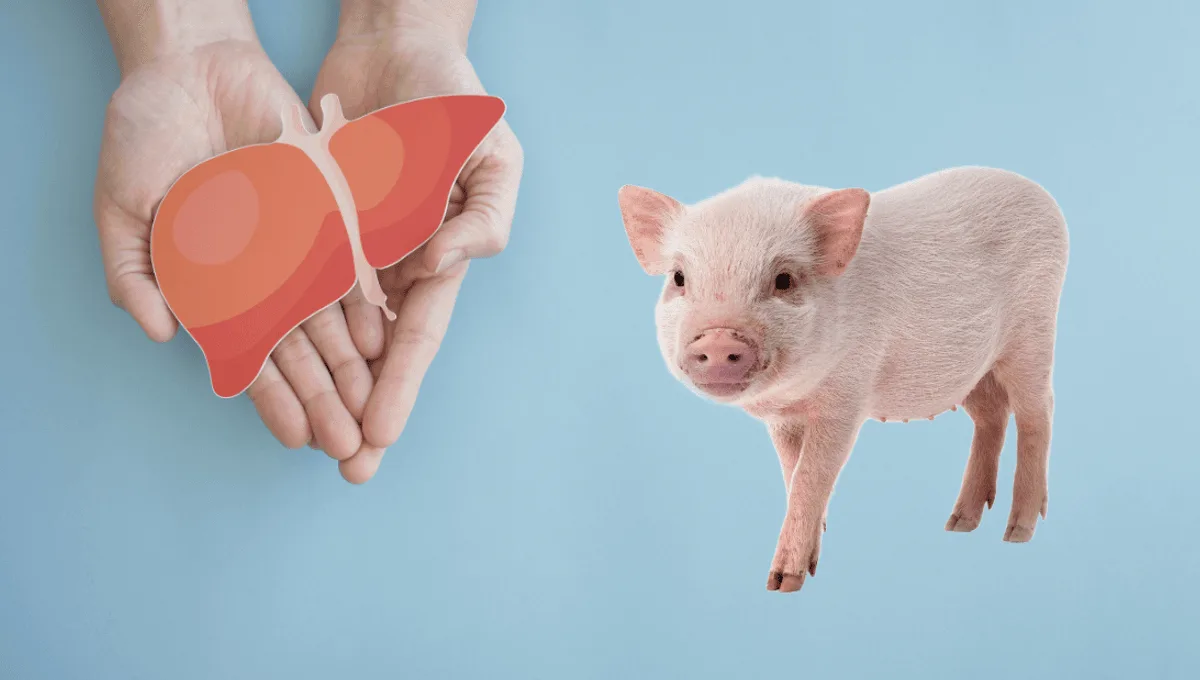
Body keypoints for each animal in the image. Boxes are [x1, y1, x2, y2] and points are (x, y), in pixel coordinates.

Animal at [617, 166, 1068, 593]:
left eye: (783, 280)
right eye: (678, 278)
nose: (717, 338)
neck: (794, 394)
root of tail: (1044, 198)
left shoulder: (846, 400)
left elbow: (811, 476)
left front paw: (782, 582)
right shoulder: (783, 420)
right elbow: (792, 472)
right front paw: (814, 552)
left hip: (1033, 333)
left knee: (1038, 412)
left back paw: (1017, 532)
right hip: (974, 368)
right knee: (992, 415)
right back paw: (958, 523)